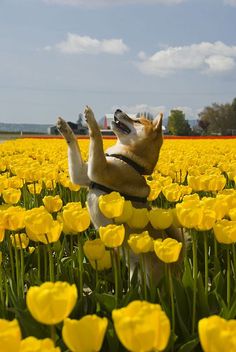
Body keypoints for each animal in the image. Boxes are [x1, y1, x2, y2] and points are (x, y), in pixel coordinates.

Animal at [56, 106, 182, 276]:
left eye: (137, 121)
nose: (117, 109)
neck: (129, 160)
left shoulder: (98, 170)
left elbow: (97, 136)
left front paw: (91, 118)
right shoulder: (82, 175)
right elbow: (74, 143)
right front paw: (64, 127)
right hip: (134, 271)